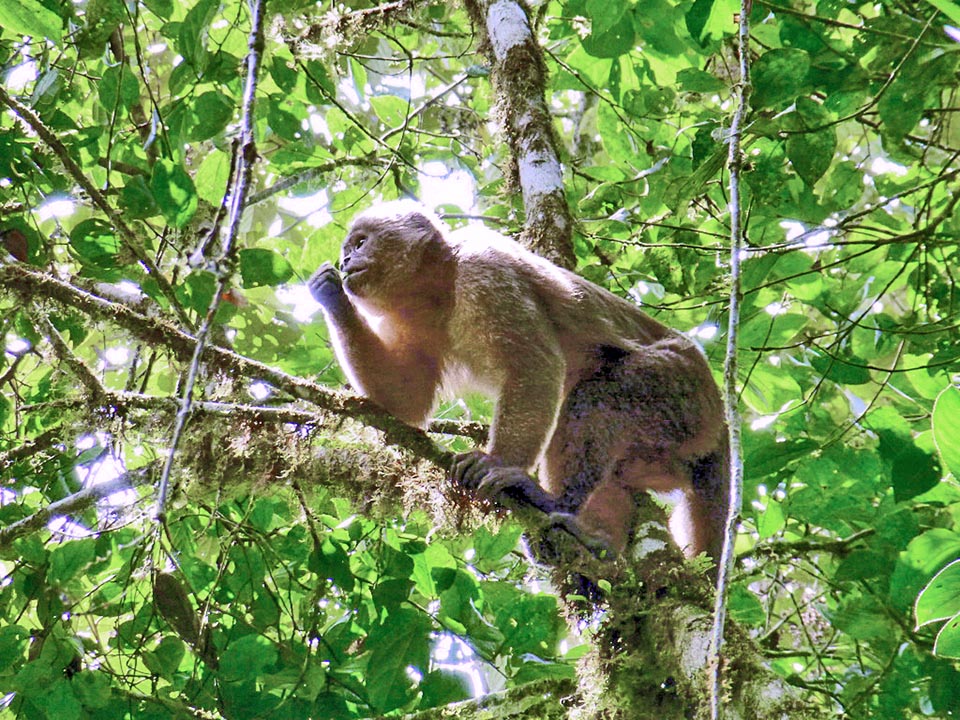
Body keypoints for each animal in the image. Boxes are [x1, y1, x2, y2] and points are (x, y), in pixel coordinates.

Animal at [312, 200, 732, 564]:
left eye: (360, 243)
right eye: (348, 249)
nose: (346, 260)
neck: (440, 287)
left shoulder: (484, 271)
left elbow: (534, 365)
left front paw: (499, 462)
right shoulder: (410, 318)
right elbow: (404, 401)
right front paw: (331, 295)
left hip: (685, 390)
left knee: (596, 395)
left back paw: (556, 504)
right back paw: (597, 543)